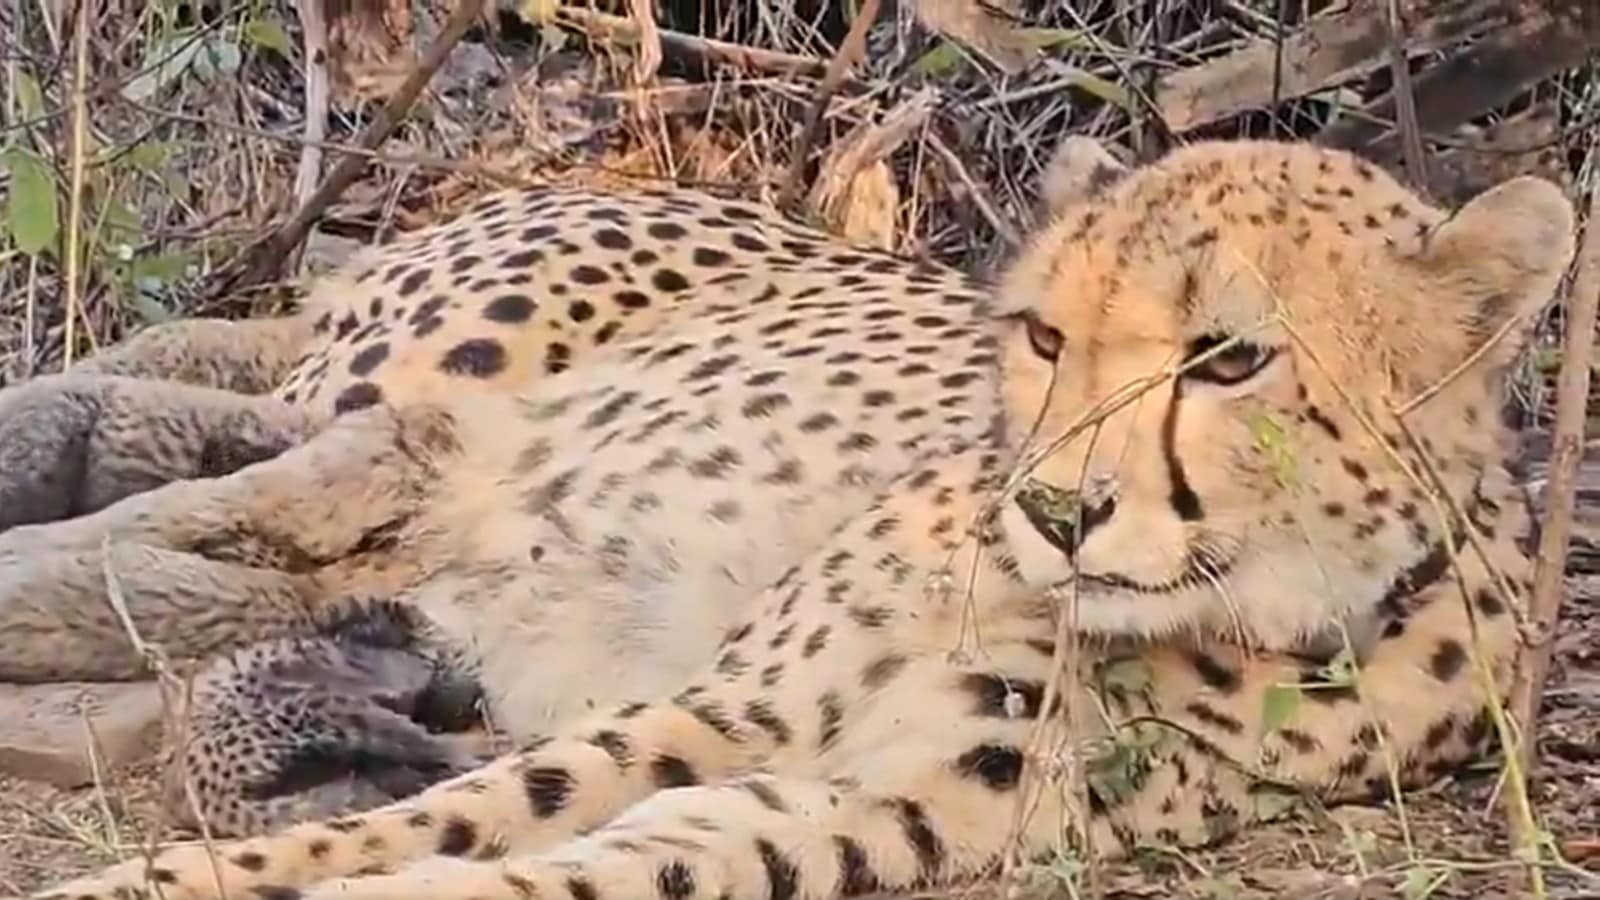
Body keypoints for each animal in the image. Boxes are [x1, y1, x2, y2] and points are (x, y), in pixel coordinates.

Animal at [9, 135, 1574, 900]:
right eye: (1045, 338)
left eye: (1230, 358)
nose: (1051, 507)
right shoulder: (732, 708)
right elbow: (460, 816)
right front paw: (160, 883)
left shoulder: (868, 803)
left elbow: (584, 864)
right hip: (443, 414)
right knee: (186, 530)